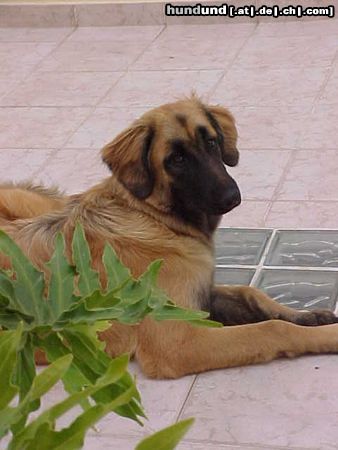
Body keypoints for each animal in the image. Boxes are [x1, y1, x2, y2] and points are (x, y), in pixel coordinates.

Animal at [0, 96, 338, 378]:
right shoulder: (177, 343)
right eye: (176, 159)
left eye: (211, 142)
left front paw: (309, 315)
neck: (153, 218)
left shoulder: (200, 293)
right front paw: (324, 334)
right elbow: (272, 329)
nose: (233, 197)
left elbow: (251, 294)